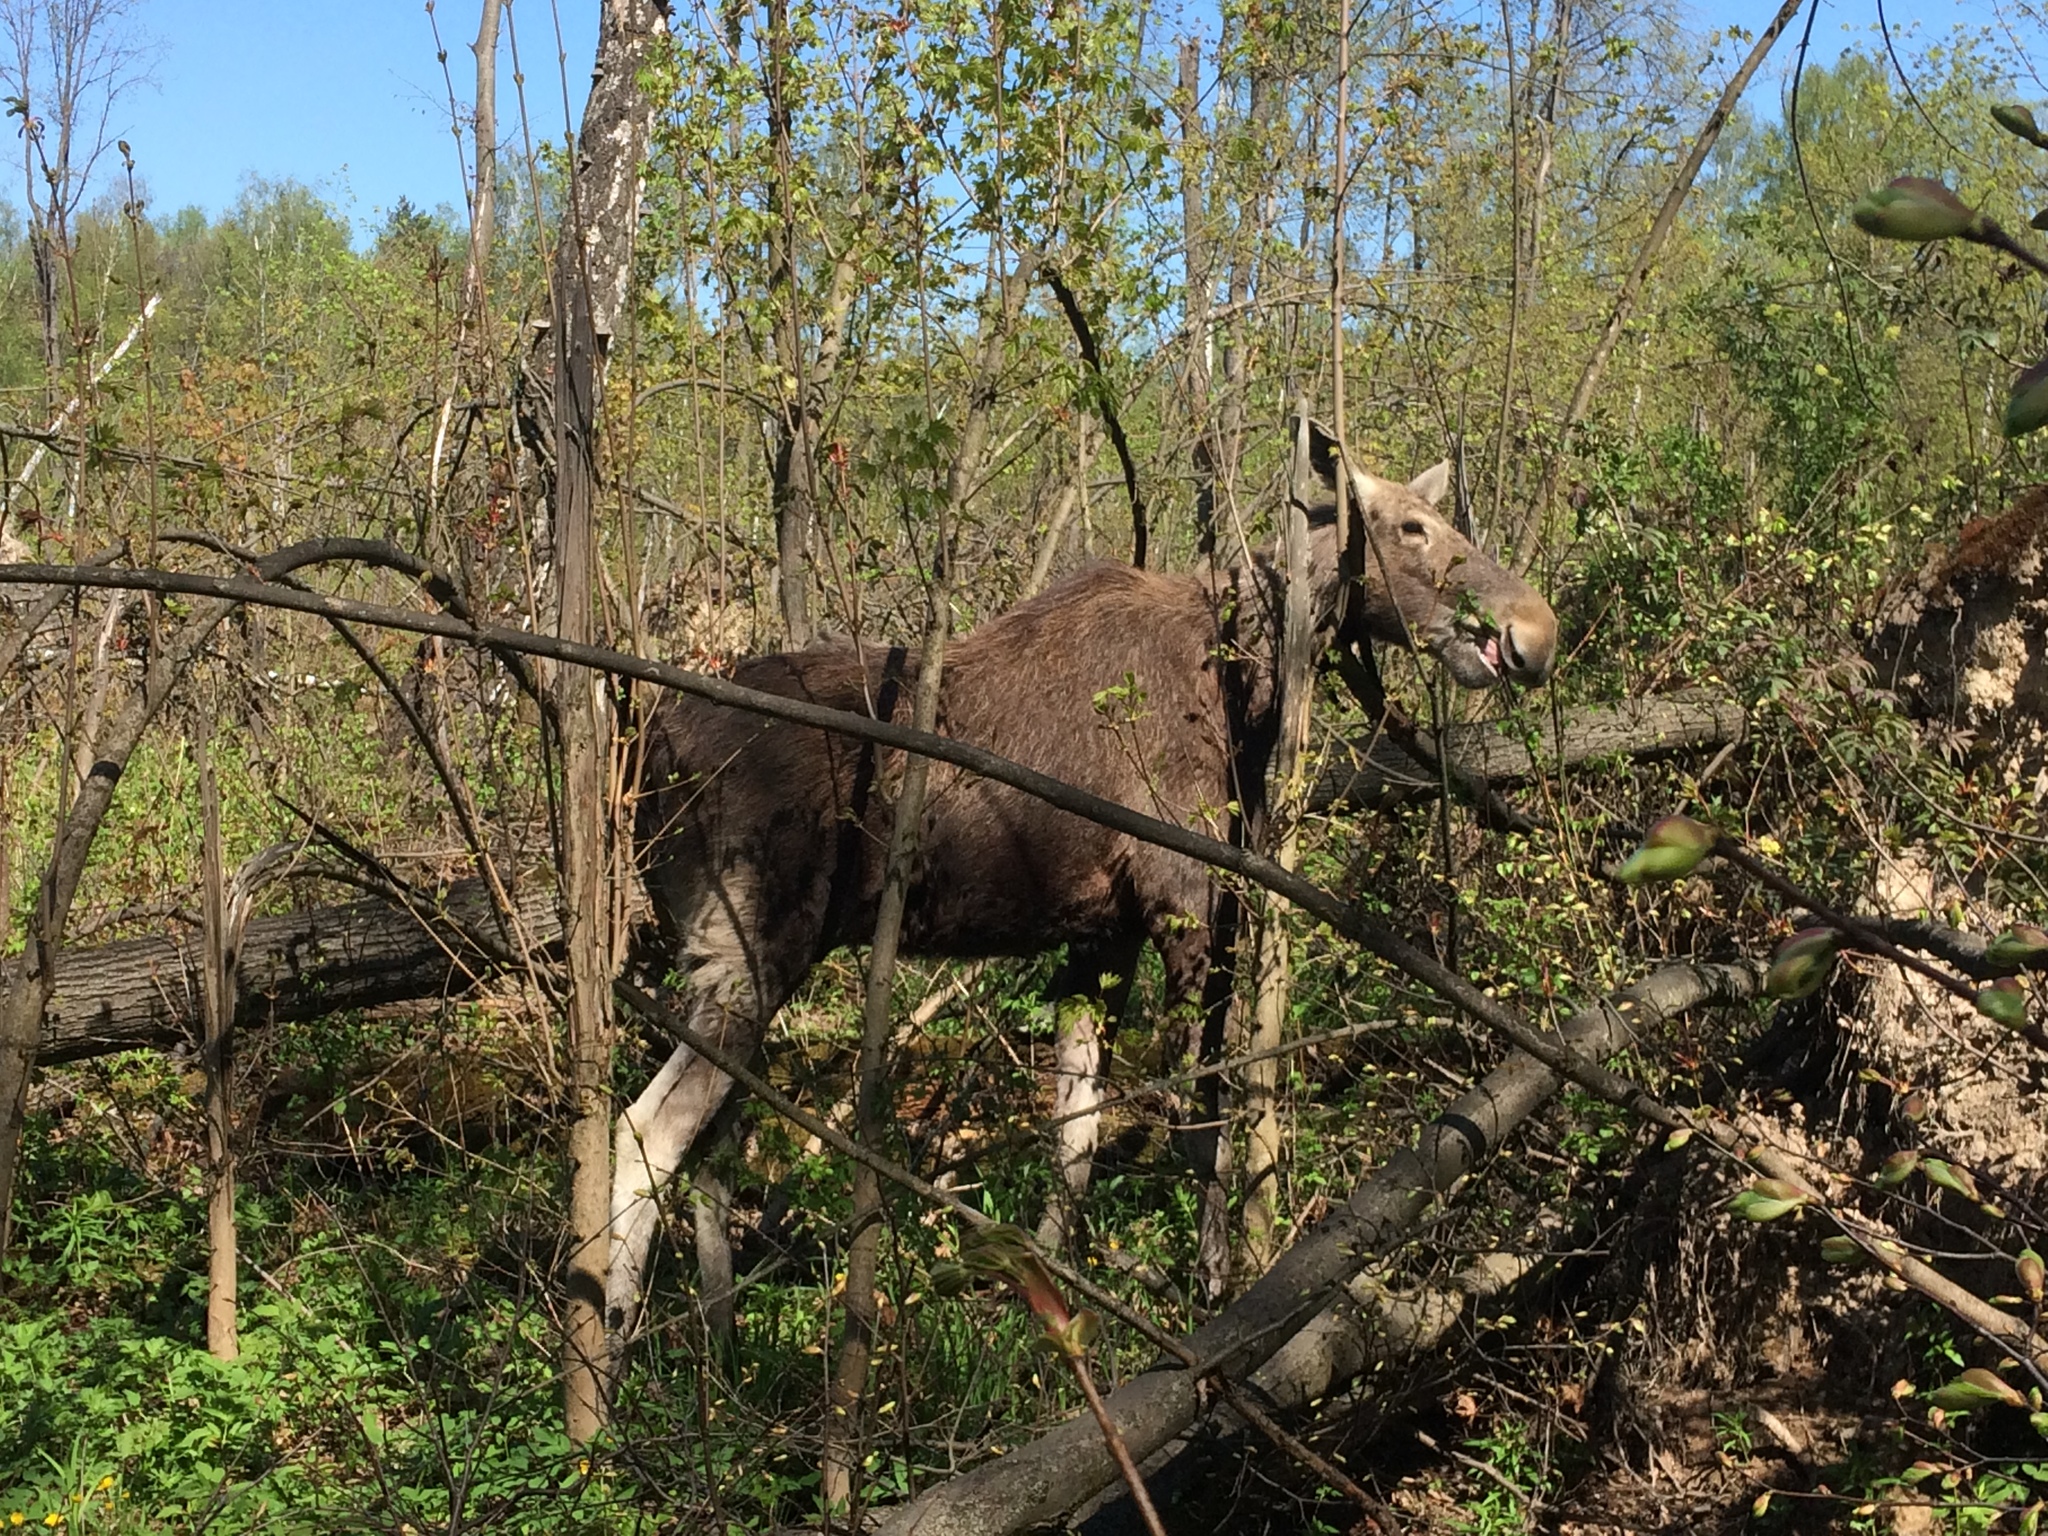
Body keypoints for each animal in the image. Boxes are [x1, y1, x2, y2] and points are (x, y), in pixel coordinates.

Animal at [606, 430, 1548, 1343]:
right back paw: (608, 1362)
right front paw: (1209, 1294)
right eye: (1412, 528)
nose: (1534, 629)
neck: (1248, 685)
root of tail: (644, 759)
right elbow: (1201, 1122)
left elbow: (1077, 1135)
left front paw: (1053, 1316)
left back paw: (718, 1348)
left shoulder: (1103, 935)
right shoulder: (1188, 903)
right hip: (751, 945)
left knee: (715, 1152)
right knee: (644, 1134)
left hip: (741, 962)